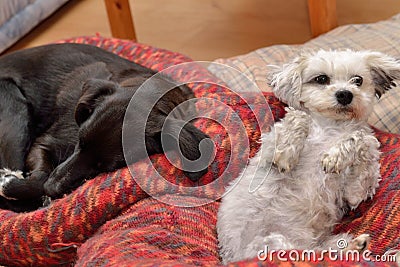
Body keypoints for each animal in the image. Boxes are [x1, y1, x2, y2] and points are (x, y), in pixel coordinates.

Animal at [0, 43, 212, 213]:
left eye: (104, 167)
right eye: (79, 142)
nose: (51, 188)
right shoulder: (43, 144)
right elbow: (41, 175)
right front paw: (13, 184)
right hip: (15, 115)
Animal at [217, 50, 400, 264]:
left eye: (358, 80)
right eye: (321, 79)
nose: (345, 94)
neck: (331, 128)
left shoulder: (355, 193)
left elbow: (364, 141)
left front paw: (336, 156)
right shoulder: (268, 154)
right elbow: (299, 118)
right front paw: (290, 151)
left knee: (321, 253)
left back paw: (358, 247)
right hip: (268, 243)